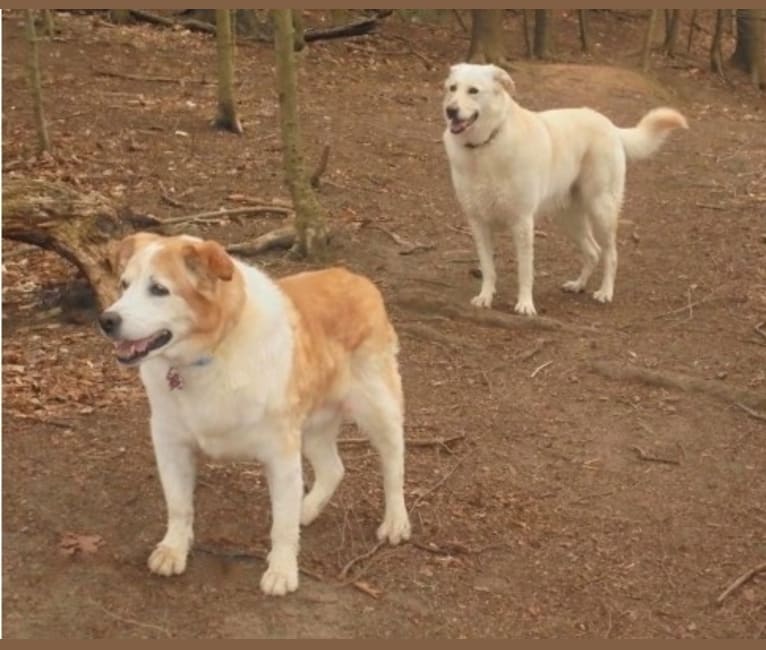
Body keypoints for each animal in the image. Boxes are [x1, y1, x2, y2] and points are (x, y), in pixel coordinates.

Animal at [102, 233, 414, 592]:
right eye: (124, 285)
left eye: (158, 289)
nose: (106, 320)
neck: (212, 353)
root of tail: (355, 278)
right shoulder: (170, 443)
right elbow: (179, 506)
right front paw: (173, 549)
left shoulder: (281, 454)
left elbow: (281, 527)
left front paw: (282, 570)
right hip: (313, 426)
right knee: (333, 469)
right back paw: (306, 509)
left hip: (378, 410)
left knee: (394, 464)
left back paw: (396, 521)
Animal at [444, 62, 688, 314]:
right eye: (452, 88)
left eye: (473, 90)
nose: (449, 111)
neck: (485, 146)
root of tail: (609, 124)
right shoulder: (478, 222)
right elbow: (488, 267)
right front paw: (485, 297)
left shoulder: (522, 222)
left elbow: (525, 270)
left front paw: (525, 304)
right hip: (569, 219)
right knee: (593, 252)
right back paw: (578, 285)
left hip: (601, 210)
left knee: (610, 254)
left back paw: (605, 292)